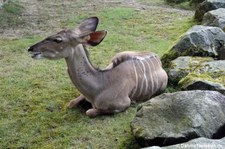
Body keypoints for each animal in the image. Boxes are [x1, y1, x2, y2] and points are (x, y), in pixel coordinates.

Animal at [27, 16, 167, 117]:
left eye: (58, 40)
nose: (31, 48)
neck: (99, 87)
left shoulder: (122, 104)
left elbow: (89, 112)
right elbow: (71, 103)